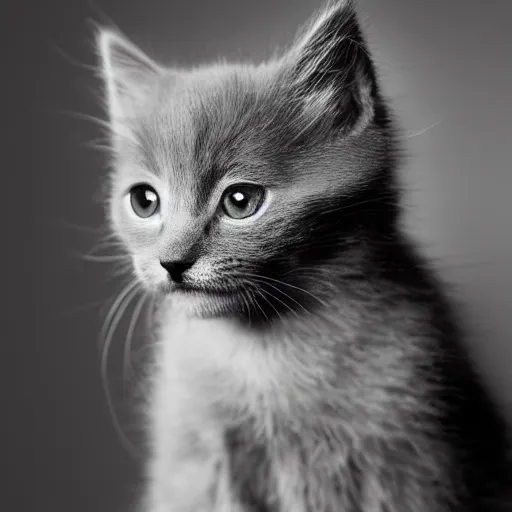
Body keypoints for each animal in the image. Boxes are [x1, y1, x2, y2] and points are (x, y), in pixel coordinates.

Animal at [97, 1, 512, 512]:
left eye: (240, 202)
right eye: (144, 201)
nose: (172, 263)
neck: (262, 354)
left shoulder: (414, 459)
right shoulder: (193, 463)